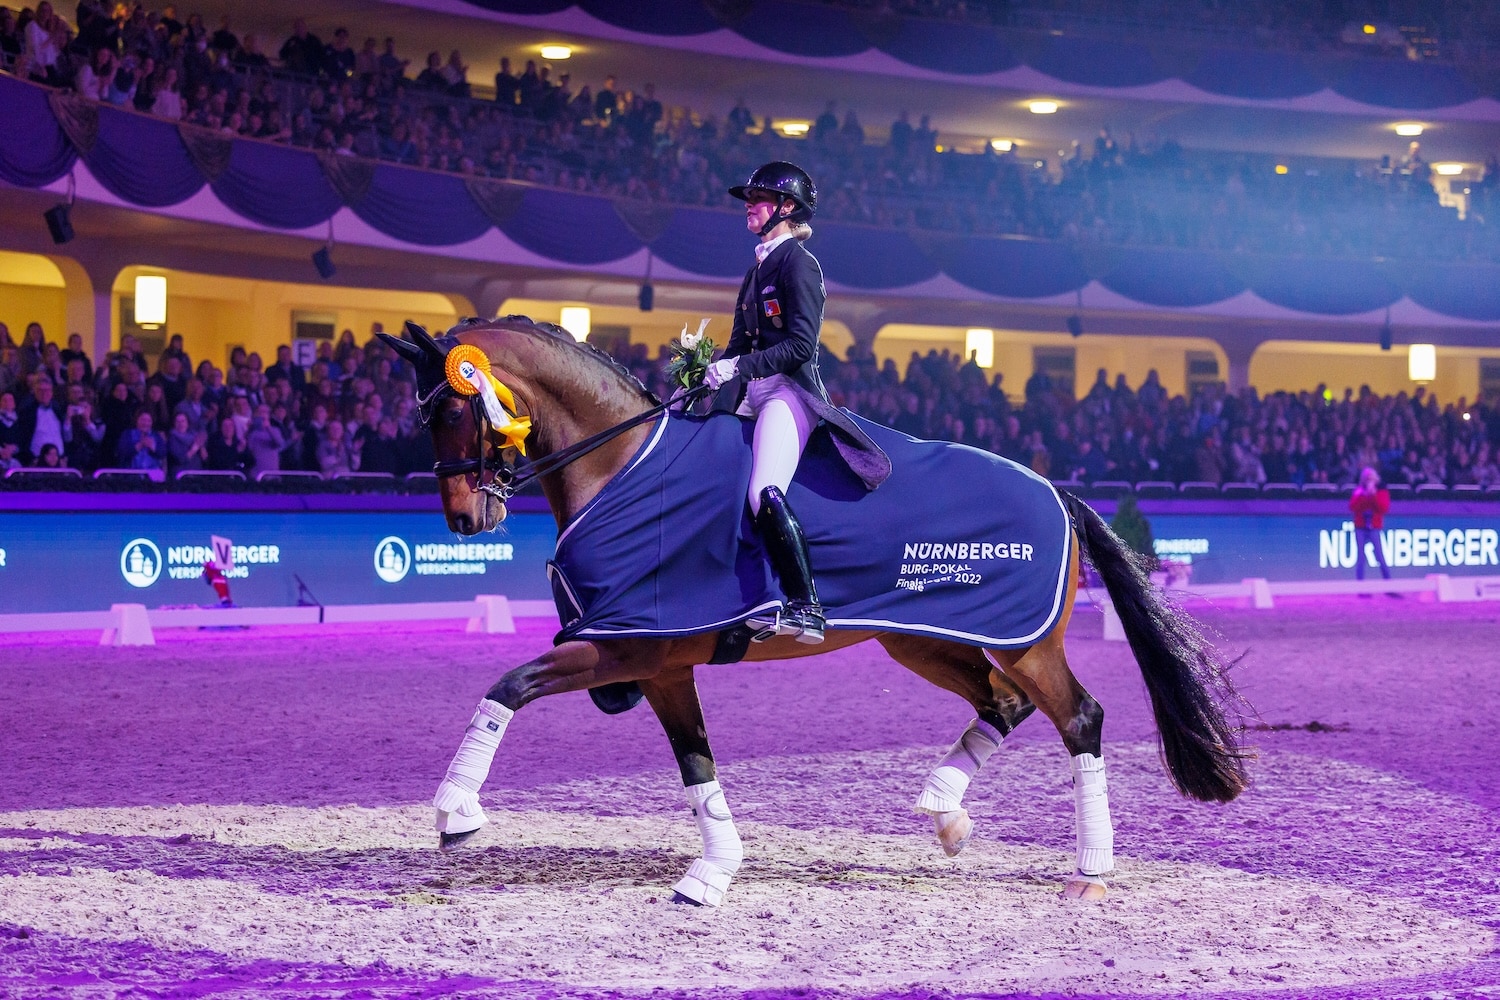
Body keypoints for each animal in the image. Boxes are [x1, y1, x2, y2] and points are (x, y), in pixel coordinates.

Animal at [381, 319, 1248, 905]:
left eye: (451, 412)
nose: (464, 519)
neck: (621, 465)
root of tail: (1059, 494)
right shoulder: (660, 663)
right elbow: (695, 765)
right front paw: (713, 872)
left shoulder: (624, 647)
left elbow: (509, 685)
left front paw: (456, 812)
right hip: (923, 640)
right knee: (1003, 705)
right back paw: (945, 814)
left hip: (1022, 641)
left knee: (1079, 718)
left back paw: (1089, 872)